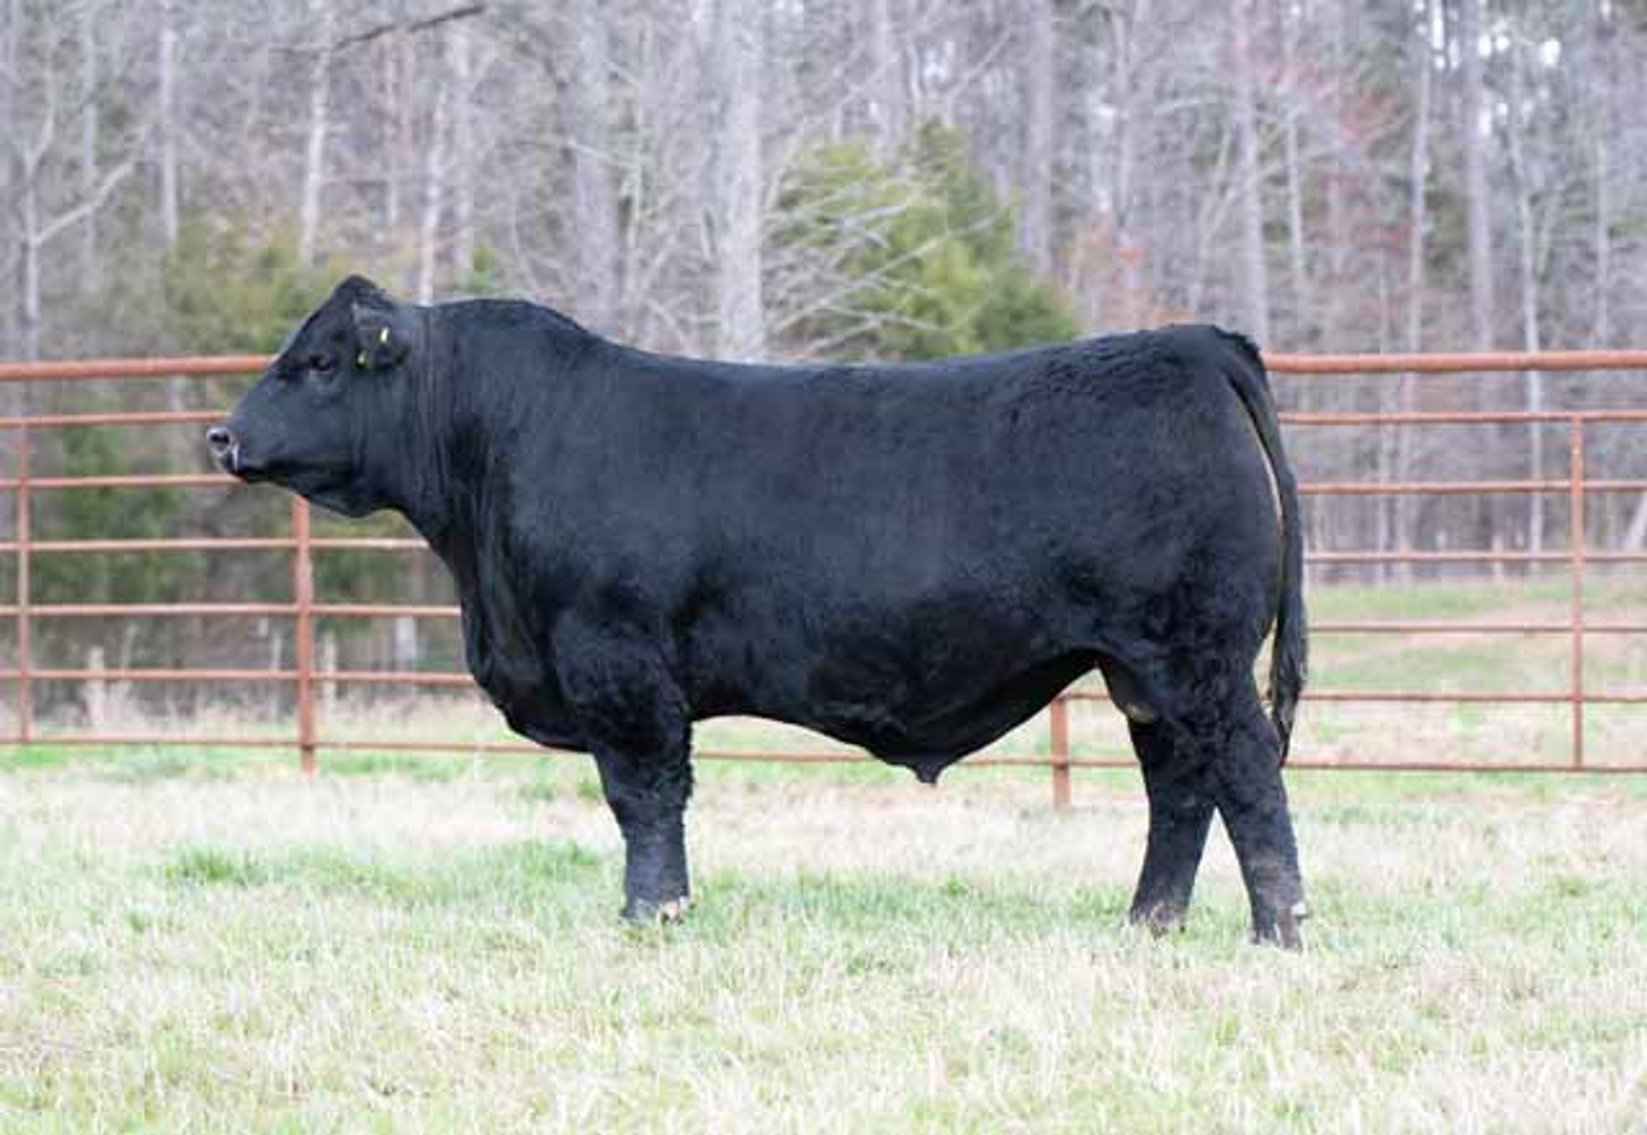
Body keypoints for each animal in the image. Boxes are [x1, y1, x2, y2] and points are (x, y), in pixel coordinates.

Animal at [210, 275, 1310, 947]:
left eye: (318, 363)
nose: (221, 435)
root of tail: (1192, 343)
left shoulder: (618, 662)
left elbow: (643, 796)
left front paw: (651, 915)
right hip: (1143, 671)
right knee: (1178, 789)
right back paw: (1148, 922)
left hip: (1195, 656)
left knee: (1245, 775)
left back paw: (1278, 928)